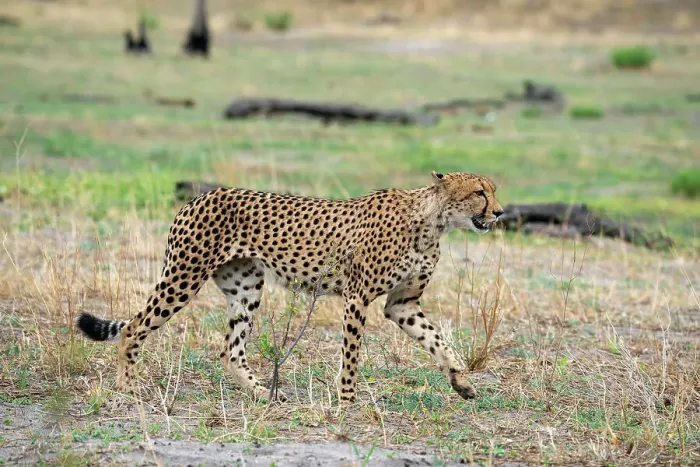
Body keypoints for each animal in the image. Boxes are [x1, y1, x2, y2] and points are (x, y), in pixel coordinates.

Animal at [77, 171, 503, 404]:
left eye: (492, 190)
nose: (499, 212)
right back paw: (127, 387)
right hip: (184, 276)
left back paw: (263, 394)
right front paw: (346, 401)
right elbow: (351, 356)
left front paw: (462, 381)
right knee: (134, 327)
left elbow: (438, 340)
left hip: (246, 287)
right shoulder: (357, 297)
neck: (433, 221)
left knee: (230, 351)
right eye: (479, 192)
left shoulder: (402, 303)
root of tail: (201, 195)